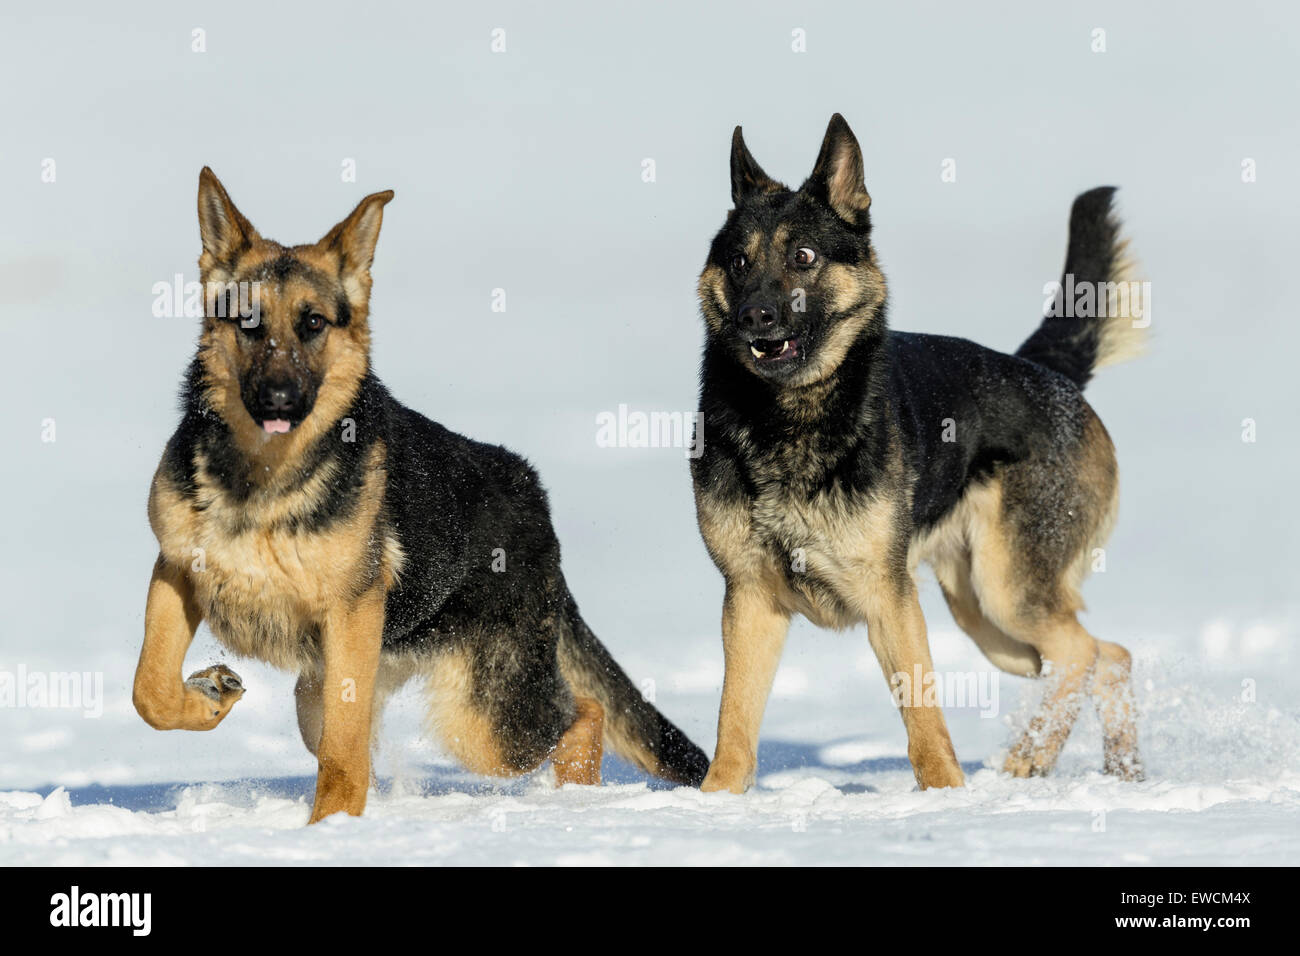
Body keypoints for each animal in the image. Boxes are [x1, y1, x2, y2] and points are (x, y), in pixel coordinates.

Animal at [131, 166, 712, 822]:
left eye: (313, 323)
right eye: (248, 322)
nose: (279, 398)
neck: (263, 480)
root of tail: (534, 497)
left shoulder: (350, 615)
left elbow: (344, 751)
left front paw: (331, 828)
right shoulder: (177, 569)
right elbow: (149, 689)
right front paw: (208, 696)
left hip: (483, 720)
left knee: (582, 715)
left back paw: (574, 805)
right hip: (326, 690)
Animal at [696, 115, 1144, 796]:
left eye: (803, 257)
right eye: (739, 261)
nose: (754, 317)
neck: (788, 418)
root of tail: (1045, 371)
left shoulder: (890, 599)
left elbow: (923, 712)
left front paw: (945, 795)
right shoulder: (750, 599)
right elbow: (734, 719)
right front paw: (716, 800)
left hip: (1007, 592)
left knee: (1087, 655)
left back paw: (1034, 761)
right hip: (986, 620)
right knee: (1106, 655)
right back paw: (1114, 771)